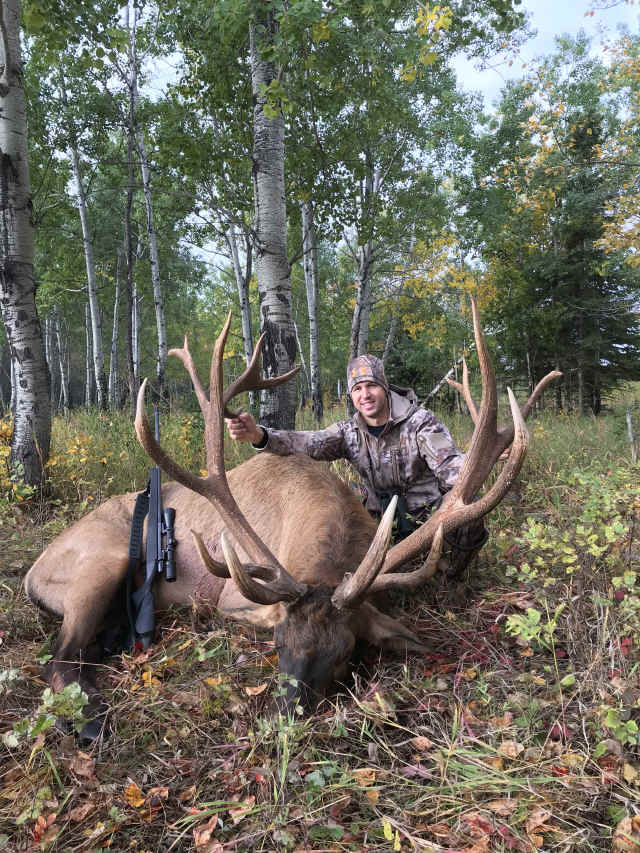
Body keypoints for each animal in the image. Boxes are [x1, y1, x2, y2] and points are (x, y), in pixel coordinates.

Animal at [24, 300, 559, 739]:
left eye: (346, 653)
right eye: (280, 643)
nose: (285, 717)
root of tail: (30, 576)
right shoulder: (232, 595)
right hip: (101, 560)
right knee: (60, 655)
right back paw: (90, 720)